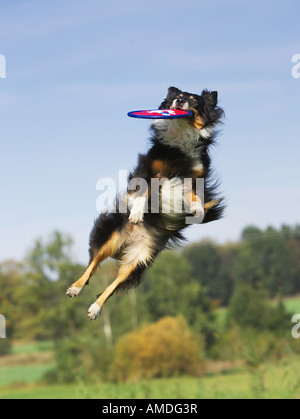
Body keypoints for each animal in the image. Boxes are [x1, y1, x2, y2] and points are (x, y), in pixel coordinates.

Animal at [66, 87, 225, 320]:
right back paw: (75, 288)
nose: (179, 101)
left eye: (194, 100)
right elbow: (142, 193)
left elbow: (194, 196)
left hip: (138, 259)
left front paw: (197, 210)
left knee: (113, 284)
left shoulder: (195, 176)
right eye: (177, 97)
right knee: (92, 264)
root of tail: (127, 243)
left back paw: (95, 308)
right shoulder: (149, 170)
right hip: (111, 235)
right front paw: (137, 213)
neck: (180, 139)